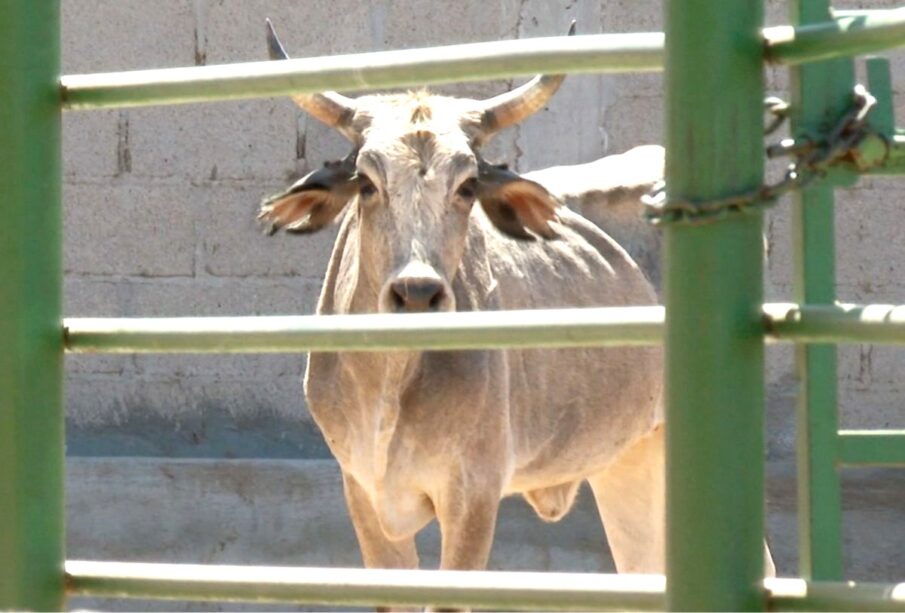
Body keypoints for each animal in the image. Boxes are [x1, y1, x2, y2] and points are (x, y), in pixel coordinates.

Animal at [258, 21, 772, 580]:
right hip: (631, 459)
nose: (417, 292)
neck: (392, 382)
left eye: (467, 186)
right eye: (368, 183)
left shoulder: (472, 494)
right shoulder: (364, 495)